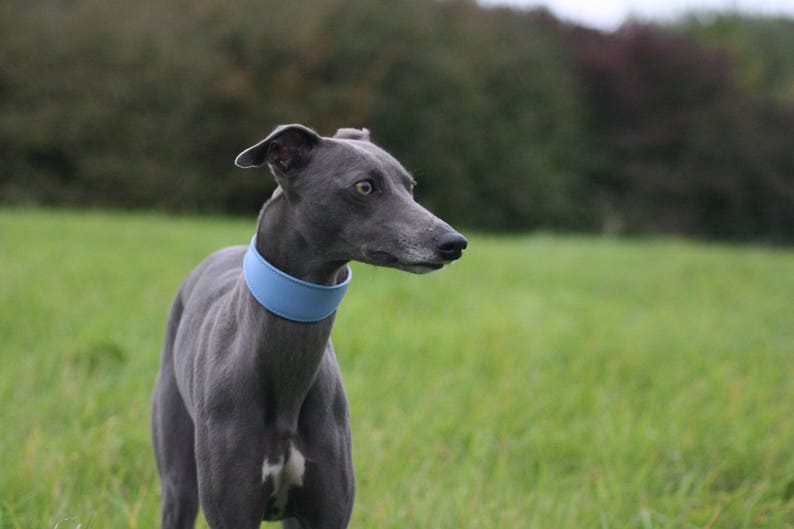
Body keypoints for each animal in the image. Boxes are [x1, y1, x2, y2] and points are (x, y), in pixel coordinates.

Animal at [152, 124, 468, 528]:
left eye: (410, 187)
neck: (287, 375)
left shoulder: (326, 509)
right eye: (365, 186)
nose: (454, 243)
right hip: (178, 480)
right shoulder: (232, 510)